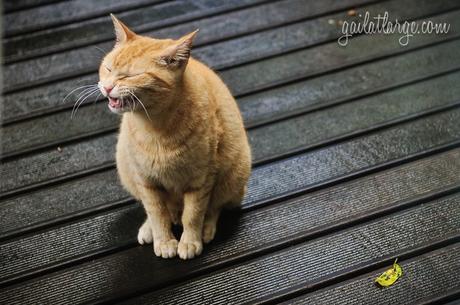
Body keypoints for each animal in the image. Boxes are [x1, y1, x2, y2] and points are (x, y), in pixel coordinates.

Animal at [98, 15, 252, 258]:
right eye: (108, 68)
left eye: (131, 76)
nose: (107, 87)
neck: (154, 126)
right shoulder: (146, 181)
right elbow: (156, 212)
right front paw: (163, 240)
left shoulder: (201, 180)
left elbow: (193, 214)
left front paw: (190, 240)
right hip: (126, 170)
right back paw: (149, 228)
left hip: (234, 174)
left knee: (214, 207)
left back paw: (206, 228)